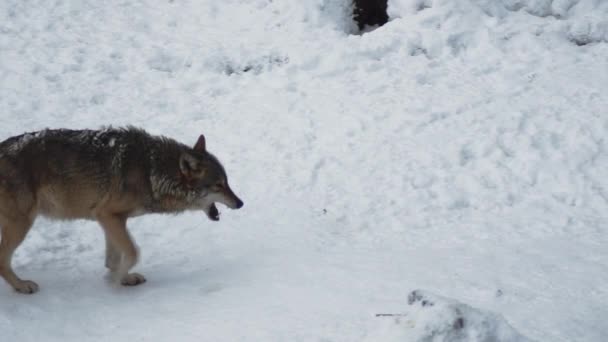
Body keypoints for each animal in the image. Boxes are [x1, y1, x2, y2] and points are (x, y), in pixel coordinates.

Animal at [0, 127, 242, 292]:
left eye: (227, 182)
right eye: (219, 185)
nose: (240, 203)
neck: (151, 171)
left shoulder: (109, 218)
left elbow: (115, 256)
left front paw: (121, 277)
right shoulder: (108, 215)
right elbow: (133, 252)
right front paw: (117, 280)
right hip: (22, 223)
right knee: (3, 261)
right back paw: (22, 286)